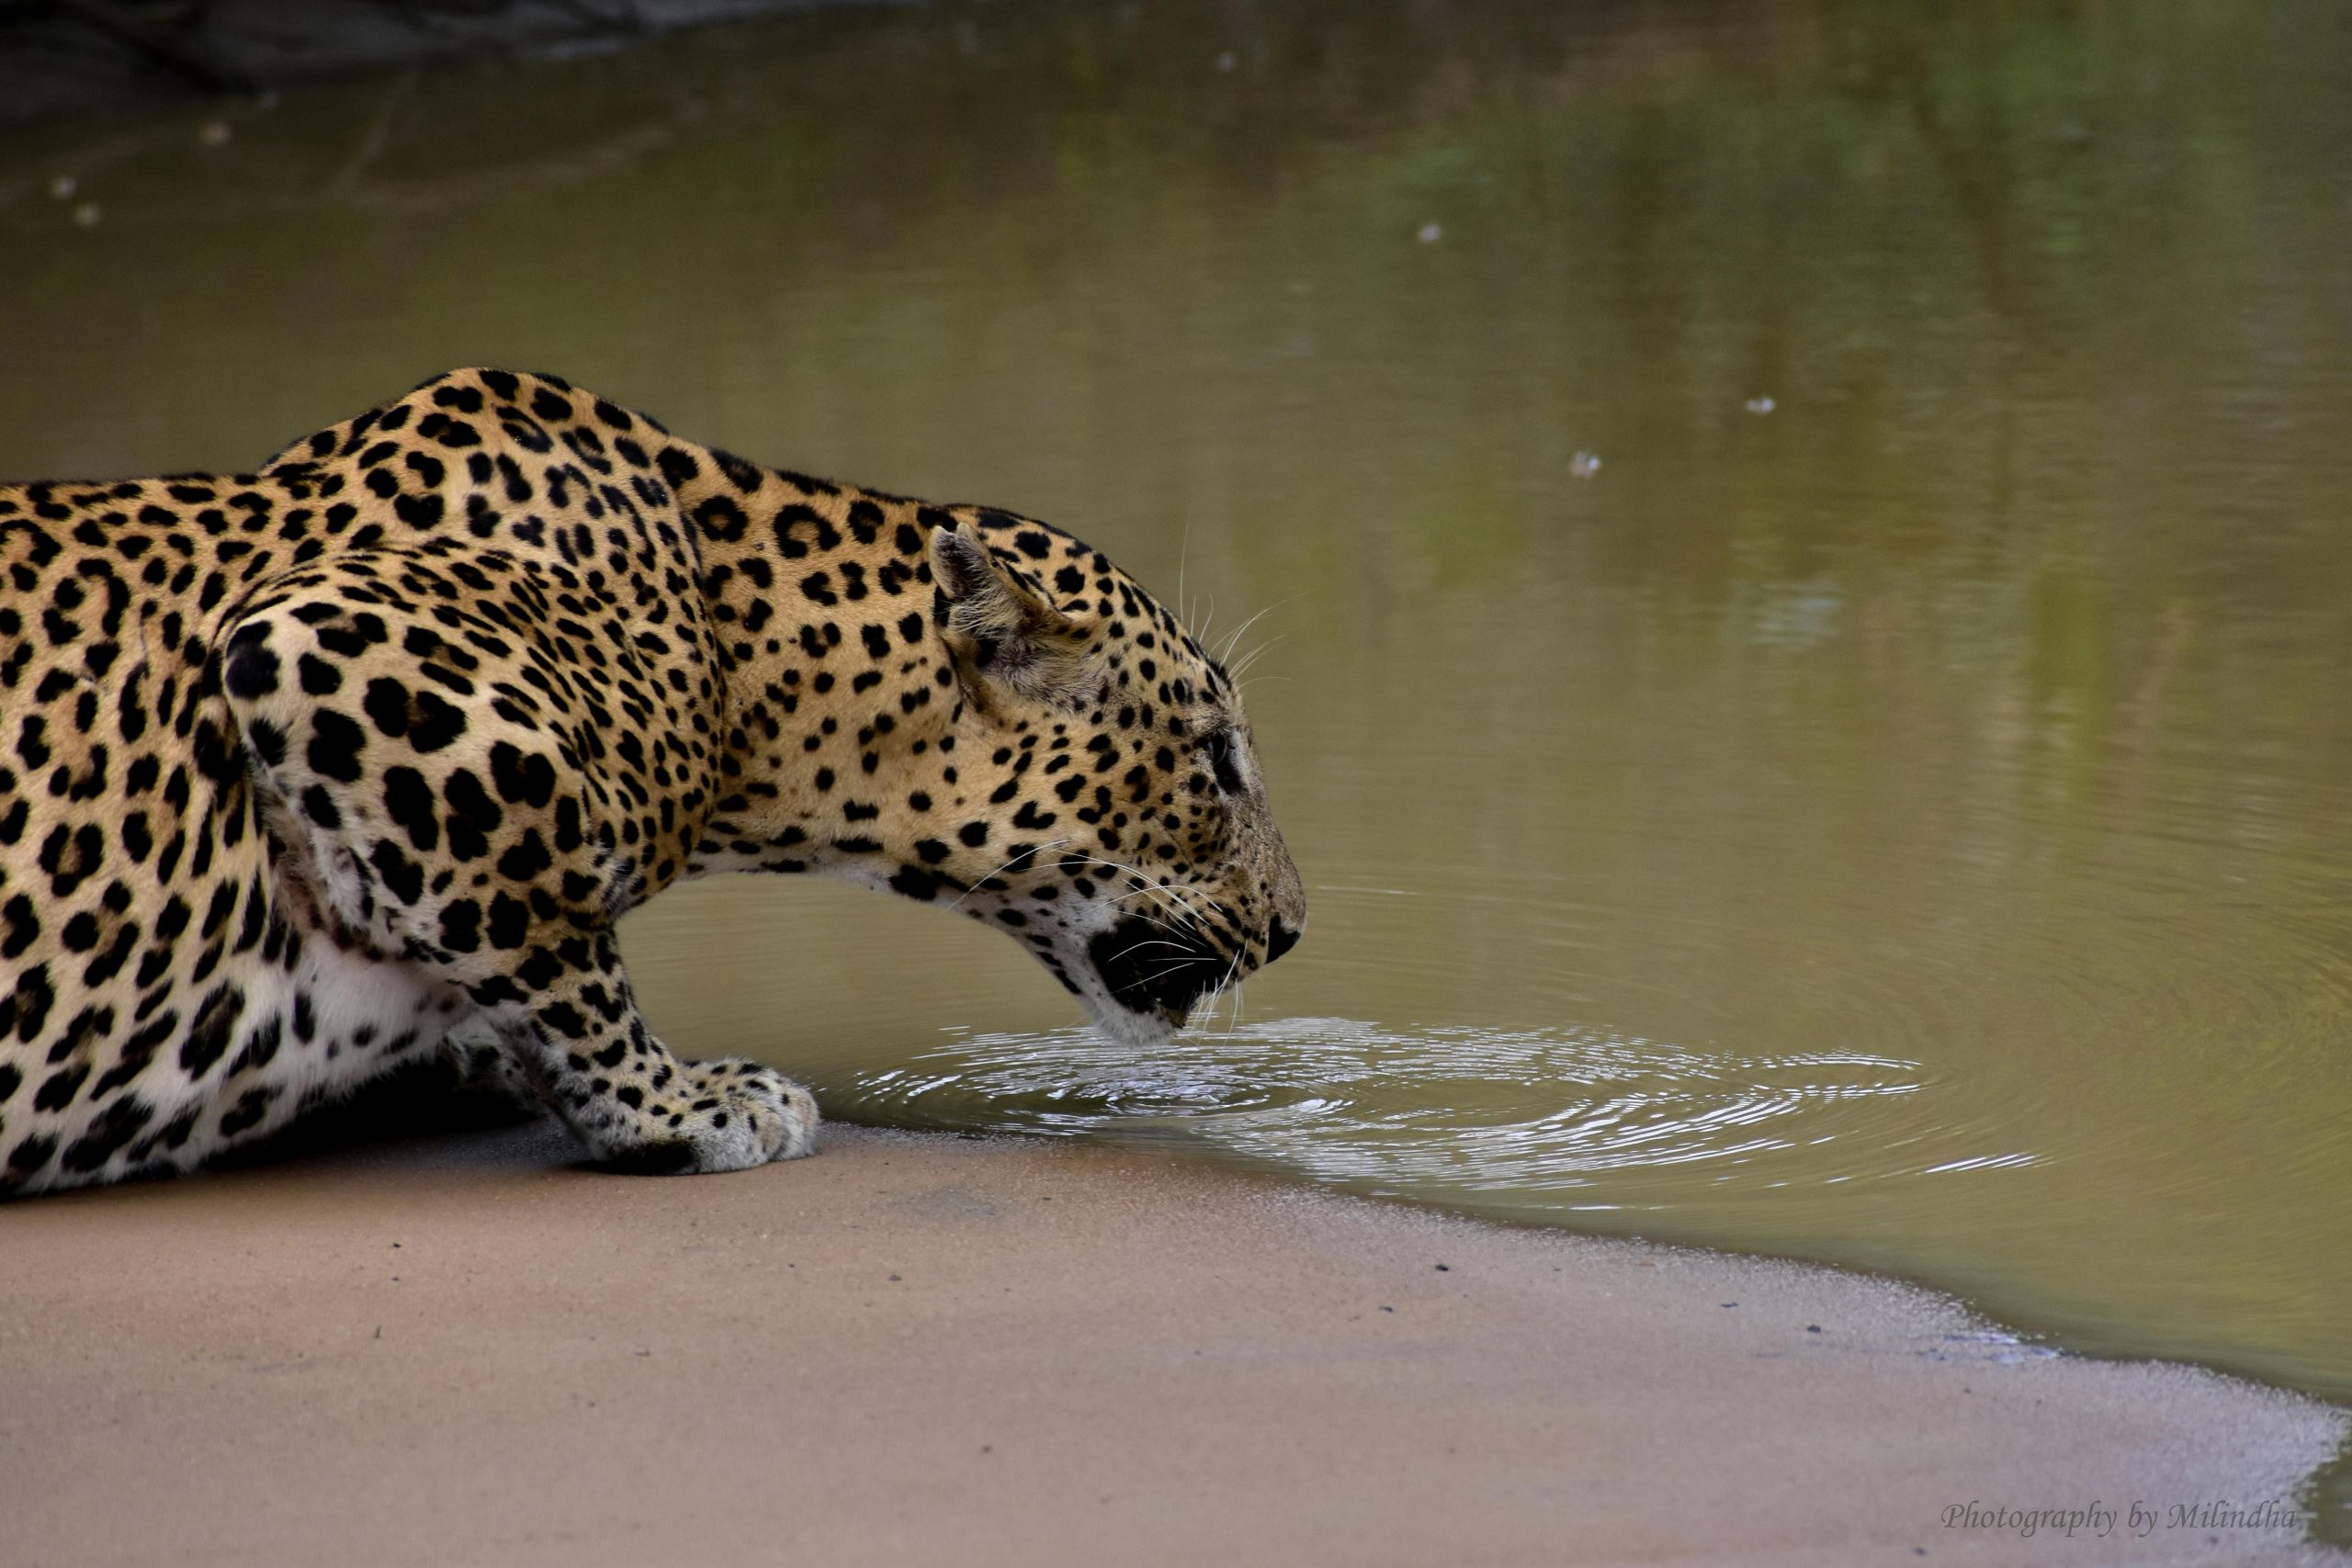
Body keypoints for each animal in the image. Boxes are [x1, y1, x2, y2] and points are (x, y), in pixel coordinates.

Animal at [0, 368, 1304, 1197]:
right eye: (1214, 759)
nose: (1293, 929)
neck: (745, 671)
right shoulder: (330, 644)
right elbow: (549, 932)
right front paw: (681, 1104)